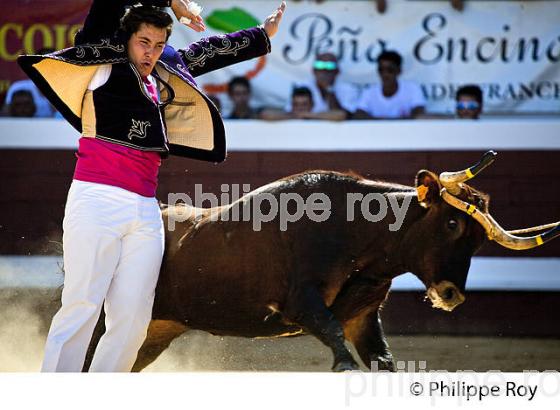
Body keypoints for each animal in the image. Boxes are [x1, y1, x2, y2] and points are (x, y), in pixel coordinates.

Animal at [83, 151, 560, 372]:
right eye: (451, 224)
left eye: (478, 239)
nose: (452, 295)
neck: (360, 240)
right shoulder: (300, 305)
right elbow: (337, 345)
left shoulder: (363, 318)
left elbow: (382, 360)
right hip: (108, 321)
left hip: (154, 331)